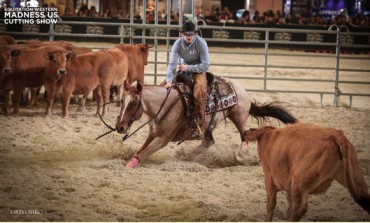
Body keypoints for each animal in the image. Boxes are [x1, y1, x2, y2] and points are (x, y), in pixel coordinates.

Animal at [115, 76, 298, 168]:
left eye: (134, 102)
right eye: (122, 100)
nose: (120, 127)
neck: (164, 105)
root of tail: (242, 91)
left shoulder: (163, 139)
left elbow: (143, 153)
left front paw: (128, 166)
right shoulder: (153, 134)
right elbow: (141, 149)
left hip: (238, 116)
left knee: (244, 135)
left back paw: (240, 156)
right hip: (210, 127)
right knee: (209, 142)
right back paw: (187, 156)